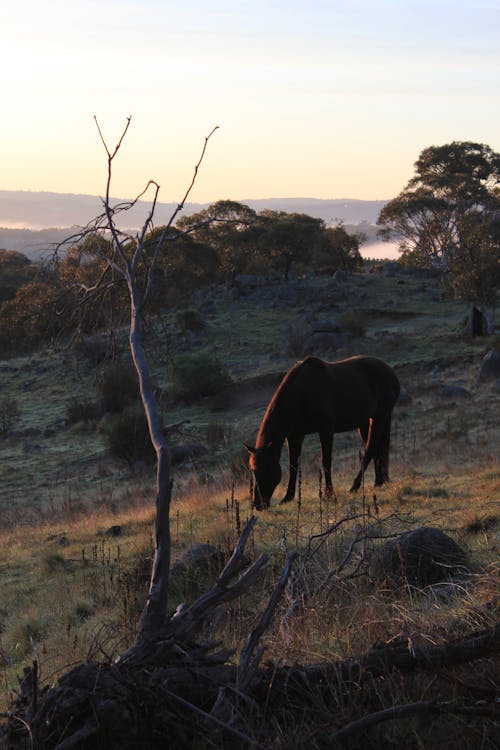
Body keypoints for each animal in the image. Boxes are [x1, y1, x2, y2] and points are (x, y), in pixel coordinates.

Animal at [248, 354, 400, 508]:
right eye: (253, 470)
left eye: (265, 469)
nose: (257, 504)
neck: (301, 394)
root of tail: (390, 372)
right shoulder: (295, 437)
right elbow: (293, 466)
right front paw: (287, 498)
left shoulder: (326, 430)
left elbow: (326, 462)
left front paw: (328, 494)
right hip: (367, 421)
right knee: (377, 448)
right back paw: (379, 482)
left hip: (379, 416)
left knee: (370, 448)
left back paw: (355, 486)